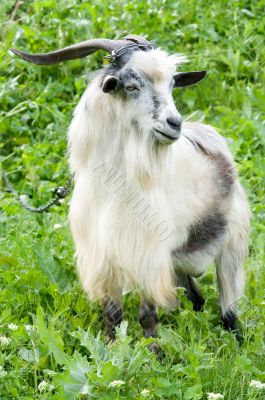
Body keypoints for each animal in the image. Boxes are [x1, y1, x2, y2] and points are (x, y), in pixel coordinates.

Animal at [10, 34, 250, 342]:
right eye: (132, 86)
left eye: (172, 84)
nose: (174, 124)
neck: (116, 188)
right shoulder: (104, 257)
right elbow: (112, 313)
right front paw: (111, 347)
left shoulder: (148, 253)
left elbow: (148, 314)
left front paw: (153, 352)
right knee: (197, 297)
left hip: (232, 245)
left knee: (228, 303)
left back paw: (237, 339)